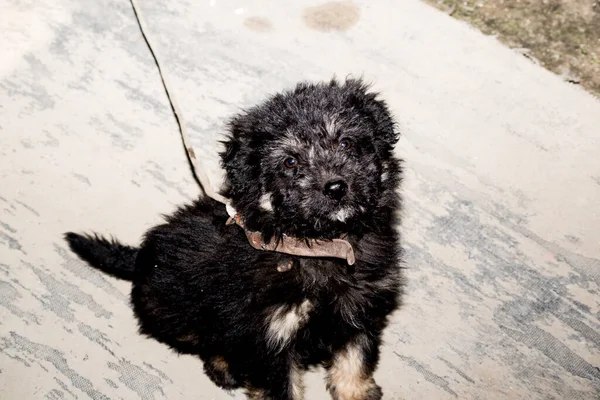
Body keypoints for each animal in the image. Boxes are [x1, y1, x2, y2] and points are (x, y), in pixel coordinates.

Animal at [67, 78, 404, 400]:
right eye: (290, 162)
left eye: (347, 142)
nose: (335, 188)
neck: (320, 247)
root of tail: (139, 258)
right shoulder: (270, 336)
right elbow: (279, 387)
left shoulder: (360, 308)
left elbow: (356, 359)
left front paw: (357, 392)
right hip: (175, 310)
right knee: (205, 340)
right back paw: (224, 365)